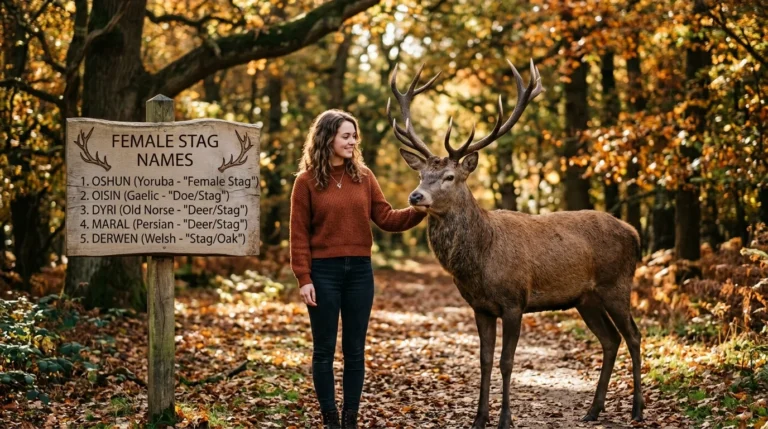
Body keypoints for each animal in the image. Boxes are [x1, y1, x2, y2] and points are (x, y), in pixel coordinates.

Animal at [386, 59, 644, 429]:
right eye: (421, 175)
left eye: (449, 177)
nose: (415, 196)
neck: (480, 262)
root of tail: (634, 233)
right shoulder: (480, 307)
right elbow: (484, 361)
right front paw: (479, 419)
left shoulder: (514, 301)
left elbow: (507, 361)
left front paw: (505, 418)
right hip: (586, 298)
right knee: (610, 340)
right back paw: (593, 410)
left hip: (617, 284)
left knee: (633, 336)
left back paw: (637, 408)